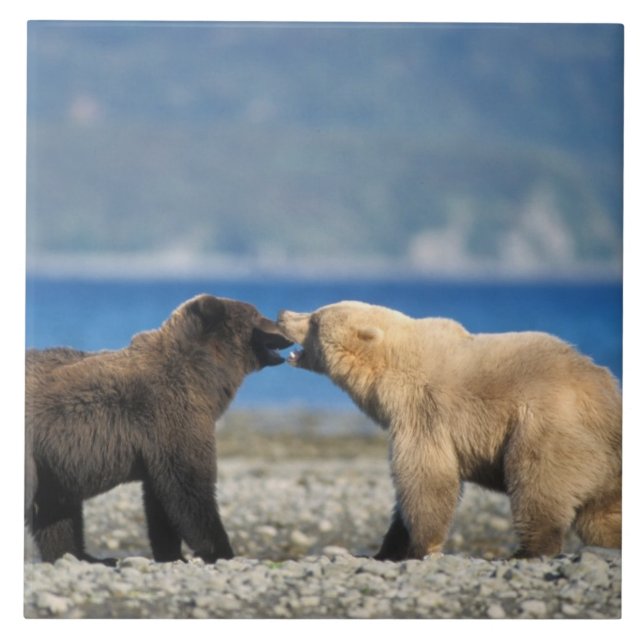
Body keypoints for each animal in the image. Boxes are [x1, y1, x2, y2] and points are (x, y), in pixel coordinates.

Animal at [25, 294, 292, 565]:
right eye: (257, 314)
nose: (286, 332)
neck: (204, 377)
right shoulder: (171, 418)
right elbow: (189, 488)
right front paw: (221, 551)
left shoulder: (159, 444)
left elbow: (161, 501)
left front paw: (172, 553)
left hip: (51, 465)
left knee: (55, 511)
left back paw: (85, 556)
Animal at [277, 301, 622, 559]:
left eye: (315, 319)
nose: (283, 314)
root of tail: (607, 400)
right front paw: (388, 548)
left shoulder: (425, 412)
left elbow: (426, 477)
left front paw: (419, 547)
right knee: (602, 514)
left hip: (546, 429)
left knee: (537, 483)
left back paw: (528, 550)